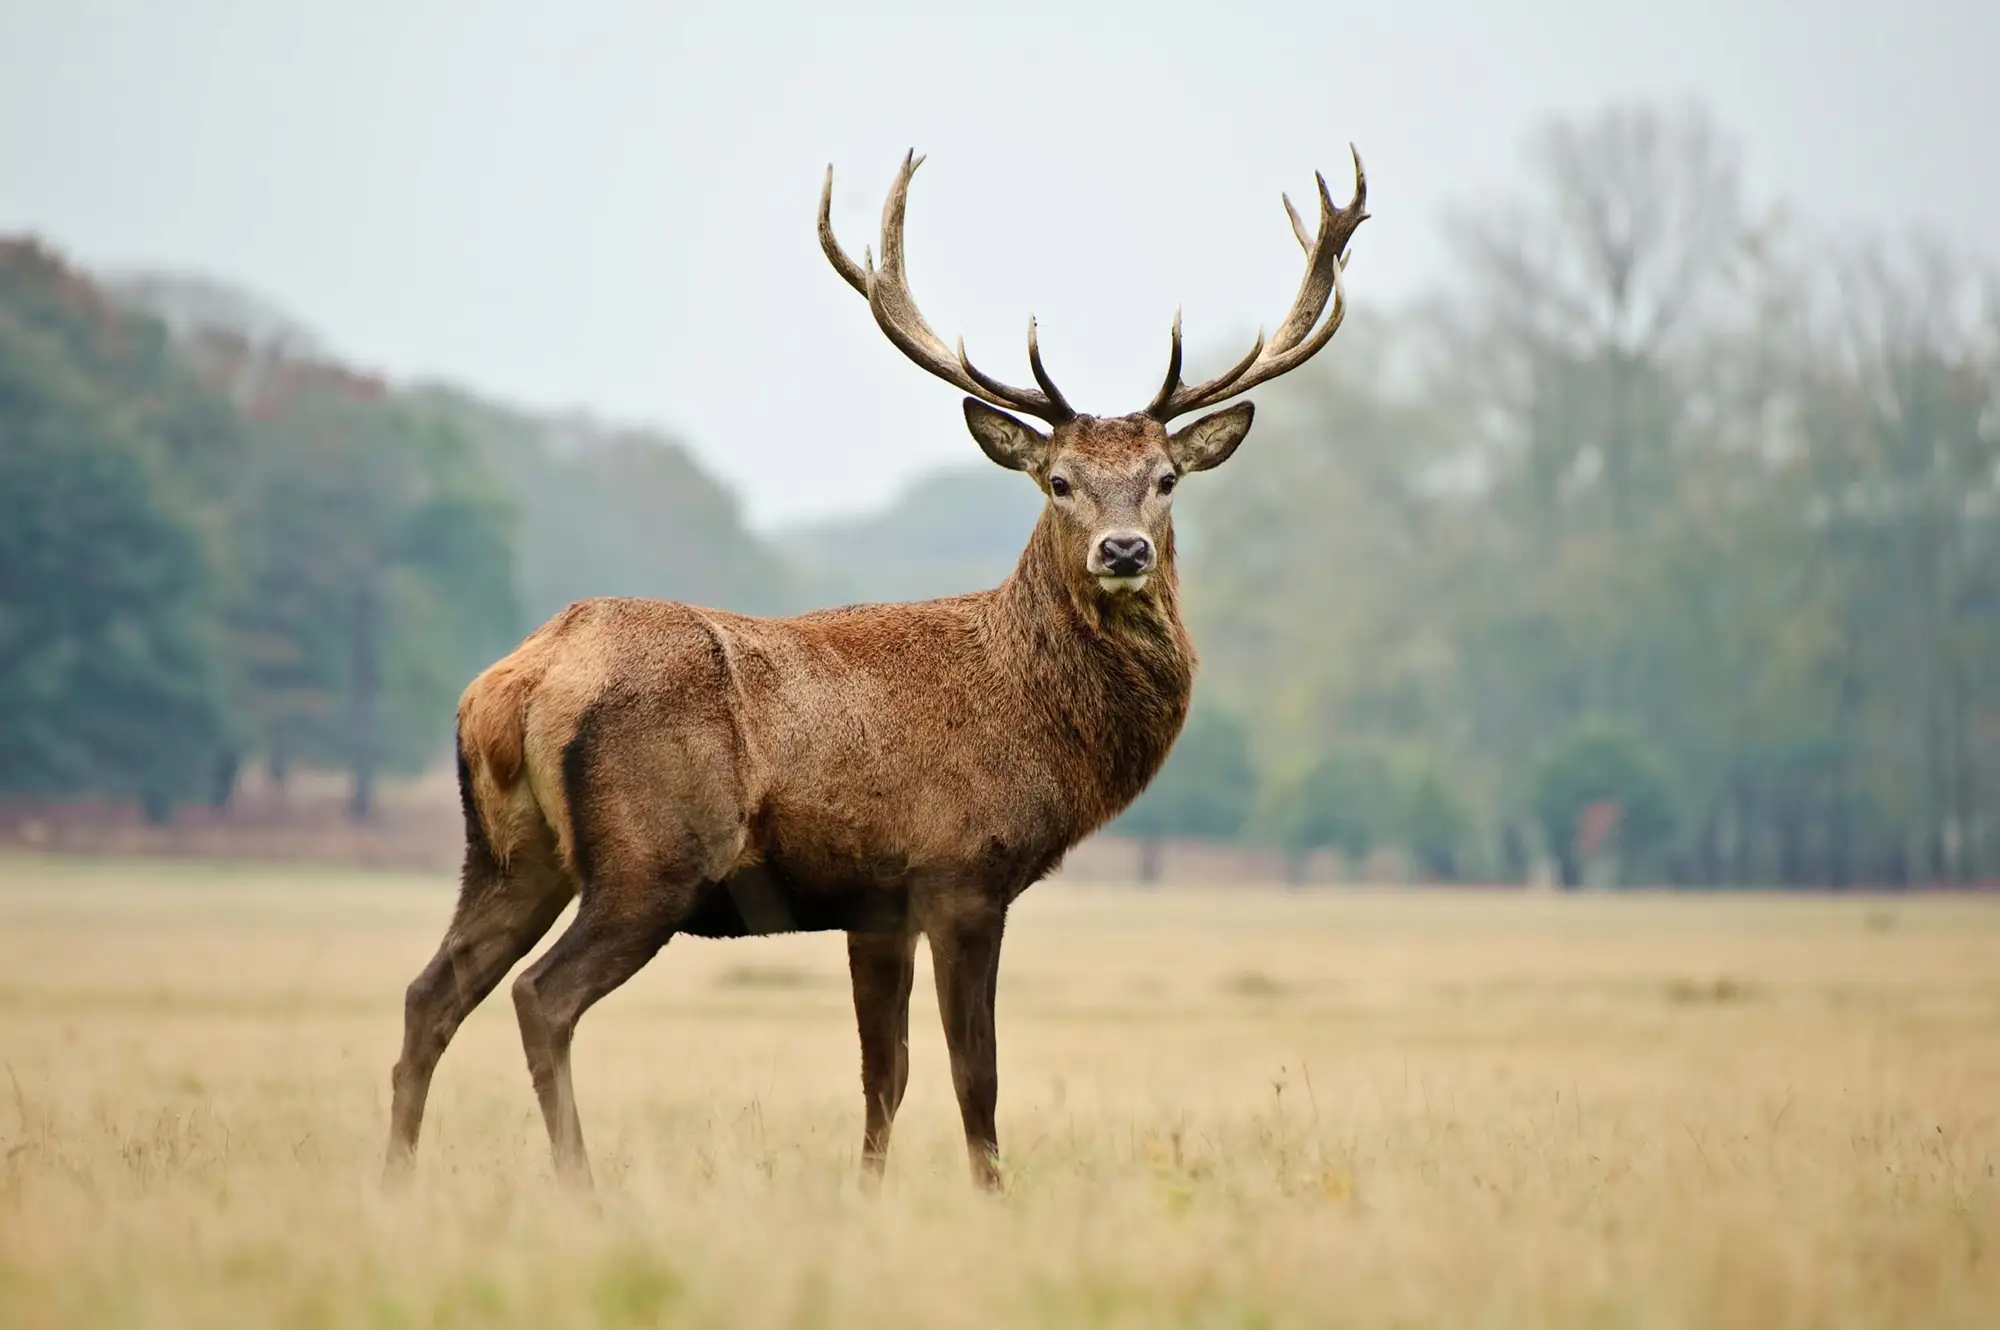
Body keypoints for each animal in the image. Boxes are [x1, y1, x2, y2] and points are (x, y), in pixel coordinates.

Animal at [383, 146, 1368, 1192]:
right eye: (1058, 481)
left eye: (1166, 480)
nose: (1125, 550)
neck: (1035, 720)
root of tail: (516, 683)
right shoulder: (962, 870)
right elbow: (975, 1073)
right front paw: (991, 1196)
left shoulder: (875, 904)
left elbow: (882, 1076)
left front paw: (866, 1196)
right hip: (650, 856)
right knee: (541, 997)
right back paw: (580, 1188)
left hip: (508, 853)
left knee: (429, 993)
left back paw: (395, 1181)